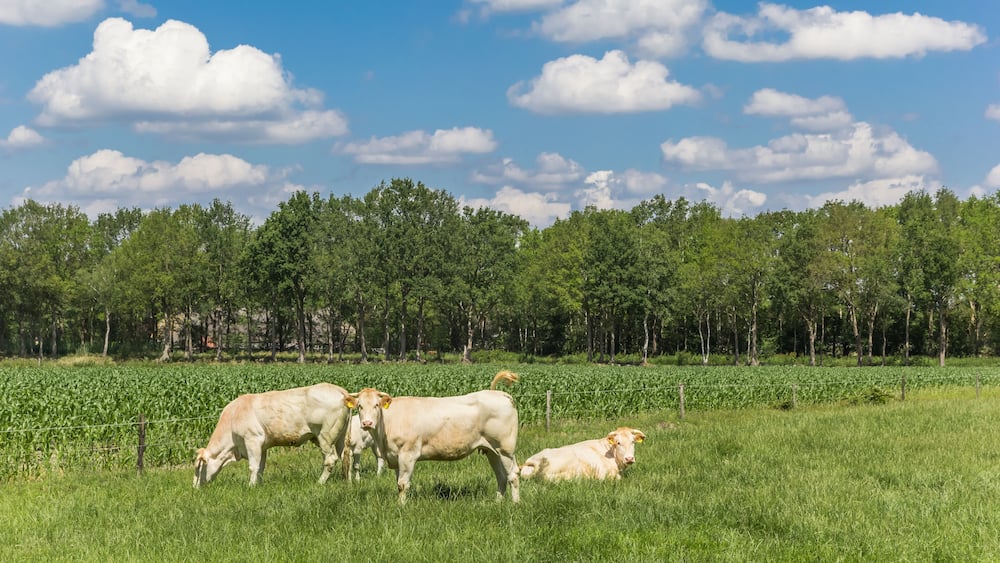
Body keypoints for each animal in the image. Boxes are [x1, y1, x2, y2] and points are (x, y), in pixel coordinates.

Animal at [193, 383, 353, 488]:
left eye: (198, 468)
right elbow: (261, 467)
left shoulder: (252, 440)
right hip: (341, 437)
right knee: (346, 456)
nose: (195, 487)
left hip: (325, 436)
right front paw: (259, 485)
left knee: (330, 459)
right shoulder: (263, 446)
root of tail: (340, 391)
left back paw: (319, 482)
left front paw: (250, 486)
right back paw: (348, 480)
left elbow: (253, 466)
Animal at [346, 370, 520, 504]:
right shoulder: (395, 456)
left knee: (513, 474)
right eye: (360, 406)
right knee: (501, 476)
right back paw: (497, 502)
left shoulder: (408, 454)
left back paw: (515, 504)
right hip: (492, 450)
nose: (367, 423)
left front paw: (401, 506)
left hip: (505, 449)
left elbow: (403, 484)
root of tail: (499, 394)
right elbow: (398, 482)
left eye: (376, 405)